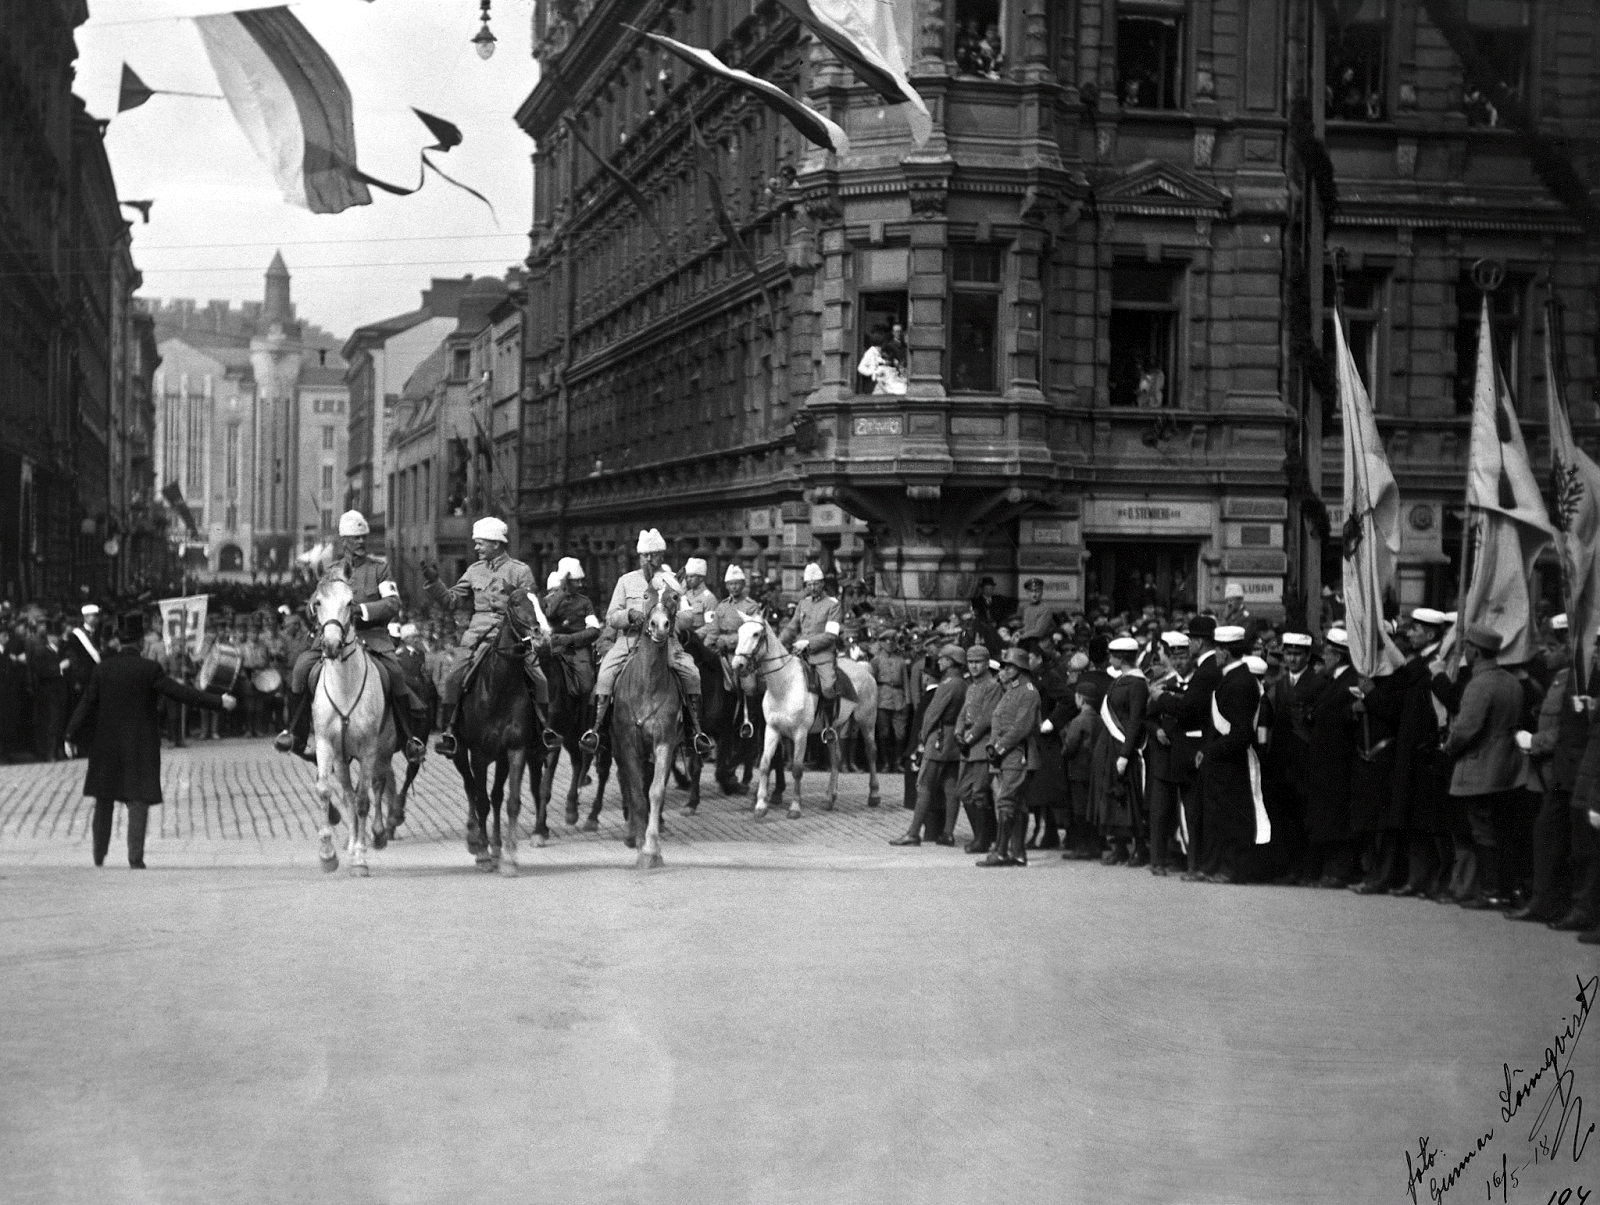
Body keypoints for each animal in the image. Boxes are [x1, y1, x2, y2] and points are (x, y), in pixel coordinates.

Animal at [308, 563, 393, 876]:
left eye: (349, 603)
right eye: (318, 602)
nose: (332, 645)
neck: (345, 686)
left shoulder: (369, 748)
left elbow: (364, 800)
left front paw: (359, 857)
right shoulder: (325, 745)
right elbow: (325, 791)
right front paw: (327, 854)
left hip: (383, 749)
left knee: (376, 787)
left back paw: (375, 836)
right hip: (342, 758)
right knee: (347, 794)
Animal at [732, 620, 883, 819]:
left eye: (756, 634)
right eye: (740, 632)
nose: (738, 665)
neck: (785, 685)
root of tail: (863, 668)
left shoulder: (800, 734)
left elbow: (797, 769)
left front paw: (795, 807)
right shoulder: (772, 730)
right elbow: (765, 764)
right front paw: (760, 806)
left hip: (866, 721)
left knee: (871, 752)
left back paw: (874, 795)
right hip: (834, 728)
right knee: (836, 758)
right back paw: (829, 798)